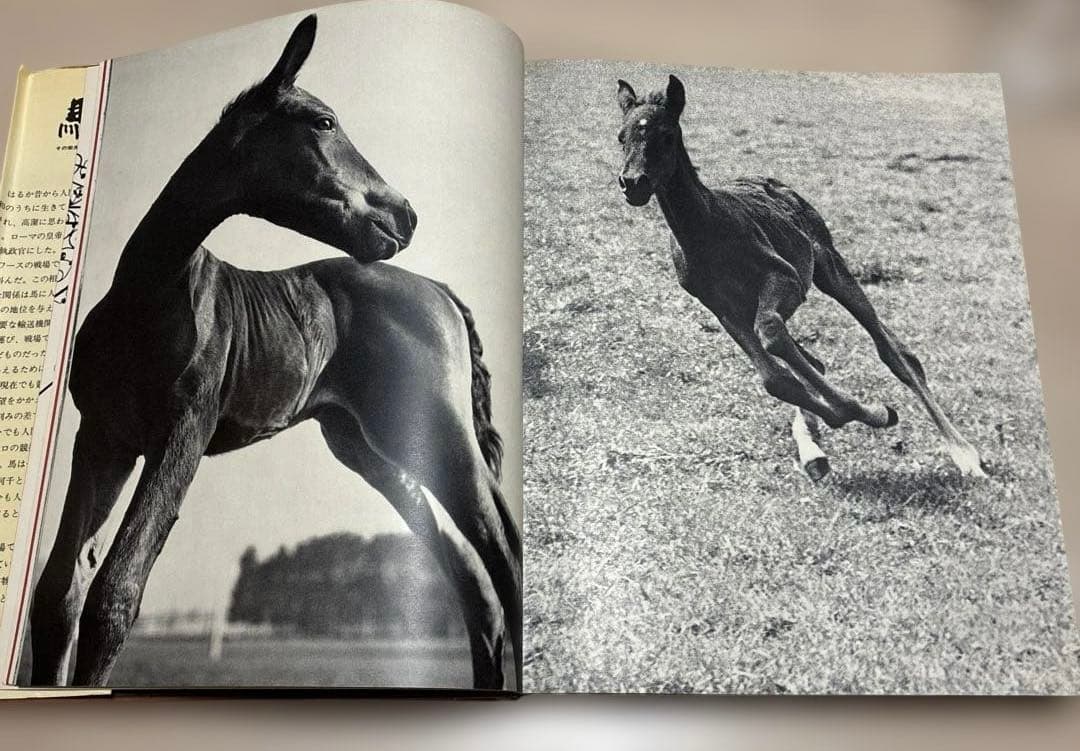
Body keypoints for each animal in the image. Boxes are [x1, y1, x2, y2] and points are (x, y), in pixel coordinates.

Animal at [28, 14, 521, 691]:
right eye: (324, 121)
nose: (406, 214)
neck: (149, 295)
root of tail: (438, 289)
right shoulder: (104, 439)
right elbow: (59, 596)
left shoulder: (182, 435)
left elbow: (115, 595)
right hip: (377, 450)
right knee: (477, 585)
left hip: (445, 438)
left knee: (505, 551)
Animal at [615, 75, 986, 480]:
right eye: (621, 137)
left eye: (666, 135)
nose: (632, 183)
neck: (706, 228)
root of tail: (781, 184)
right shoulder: (722, 308)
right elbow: (775, 378)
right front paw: (848, 418)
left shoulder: (786, 277)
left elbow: (774, 336)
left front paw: (875, 412)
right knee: (812, 362)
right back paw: (813, 448)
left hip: (829, 267)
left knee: (896, 354)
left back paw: (965, 455)